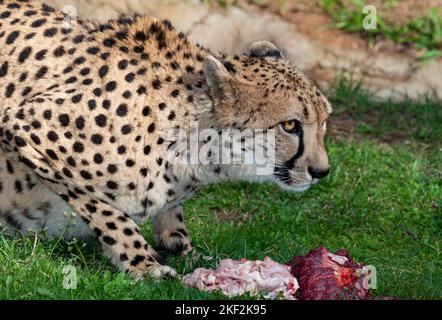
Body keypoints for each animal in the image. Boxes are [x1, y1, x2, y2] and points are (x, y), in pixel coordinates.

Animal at [0, 0, 332, 280]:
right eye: (290, 125)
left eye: (325, 120)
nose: (322, 171)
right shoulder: (26, 127)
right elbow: (105, 210)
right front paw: (143, 263)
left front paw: (180, 247)